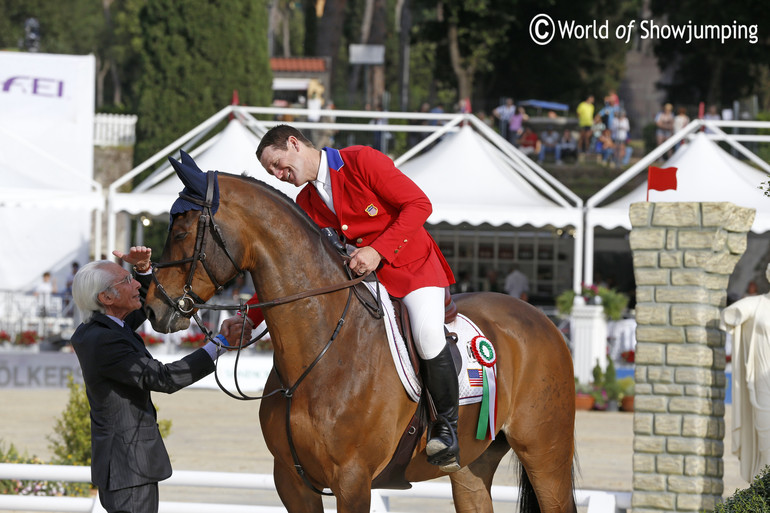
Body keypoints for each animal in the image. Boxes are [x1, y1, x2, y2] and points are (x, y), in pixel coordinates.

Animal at [144, 164, 576, 512]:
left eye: (181, 231)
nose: (152, 308)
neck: (321, 351)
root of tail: (541, 318)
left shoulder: (352, 481)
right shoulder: (291, 481)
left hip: (544, 455)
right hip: (472, 465)